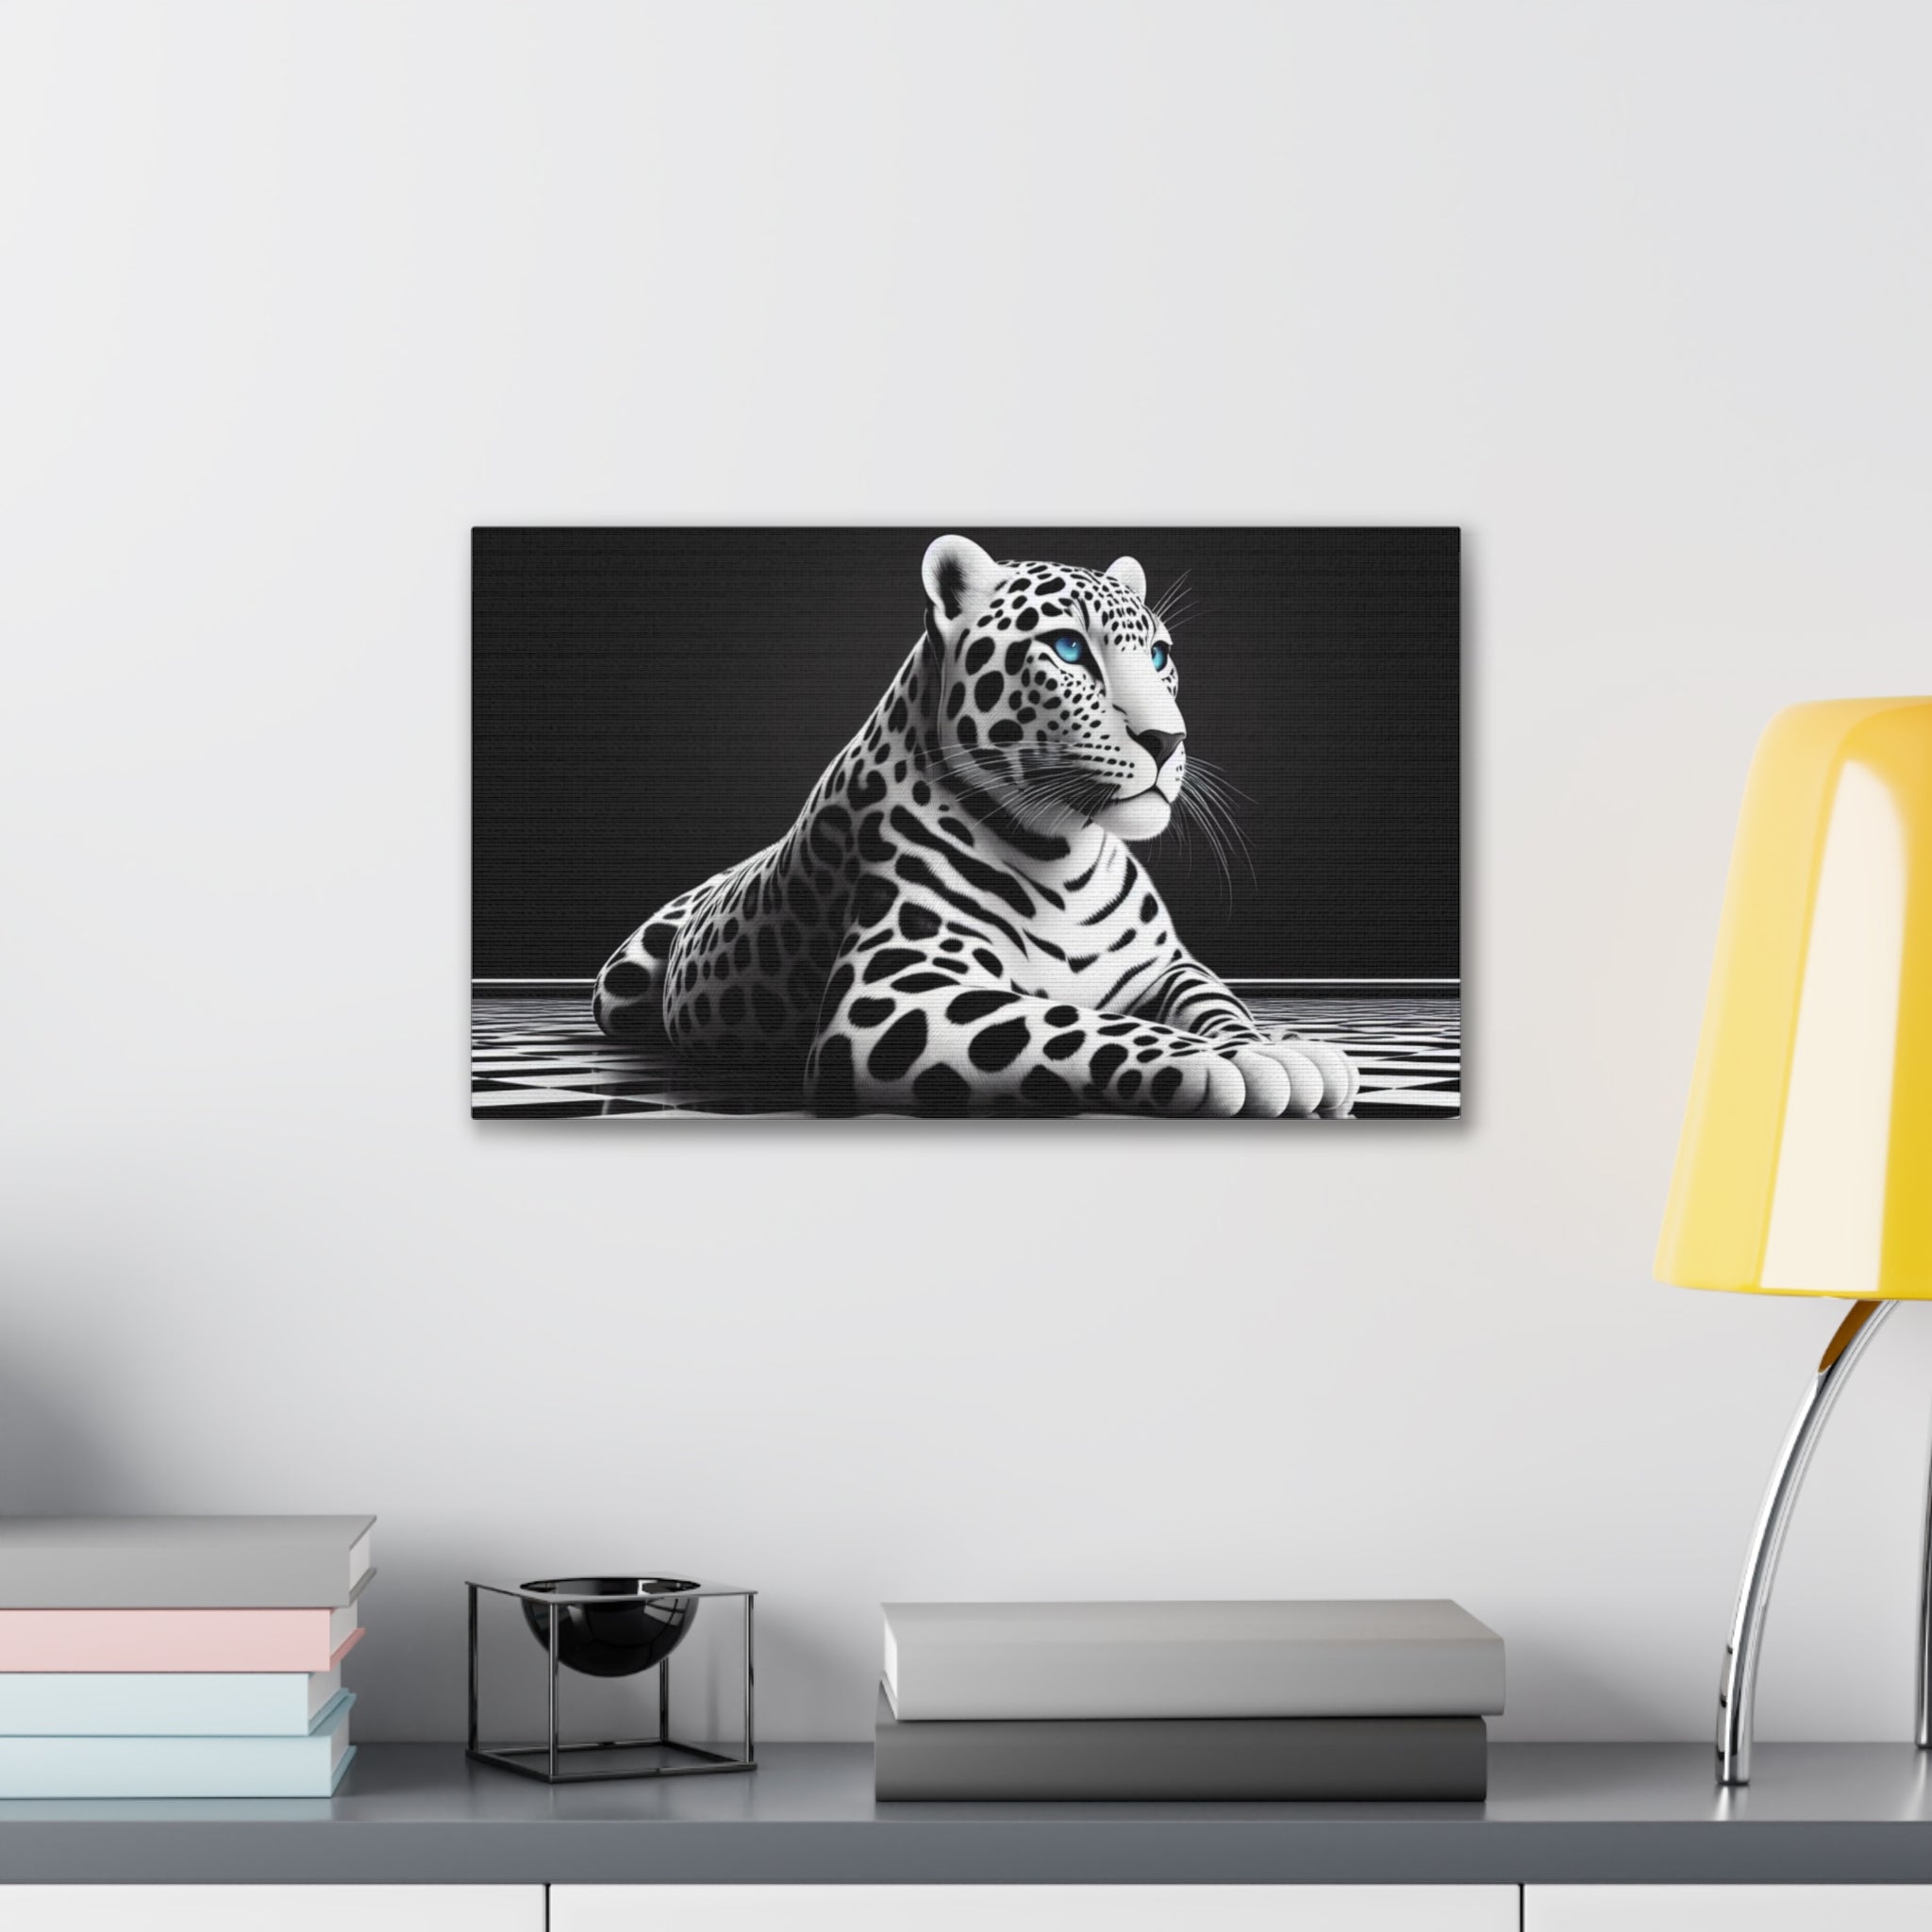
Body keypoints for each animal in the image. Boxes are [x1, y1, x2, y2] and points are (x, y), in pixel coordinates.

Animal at [592, 534, 1361, 1119]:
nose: (1167, 740)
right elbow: (1077, 1022)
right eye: (1068, 650)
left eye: (1159, 656)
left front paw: (1269, 1040)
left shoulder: (1167, 967)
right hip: (619, 986)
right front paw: (1237, 1063)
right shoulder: (894, 993)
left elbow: (1216, 1002)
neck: (1067, 854)